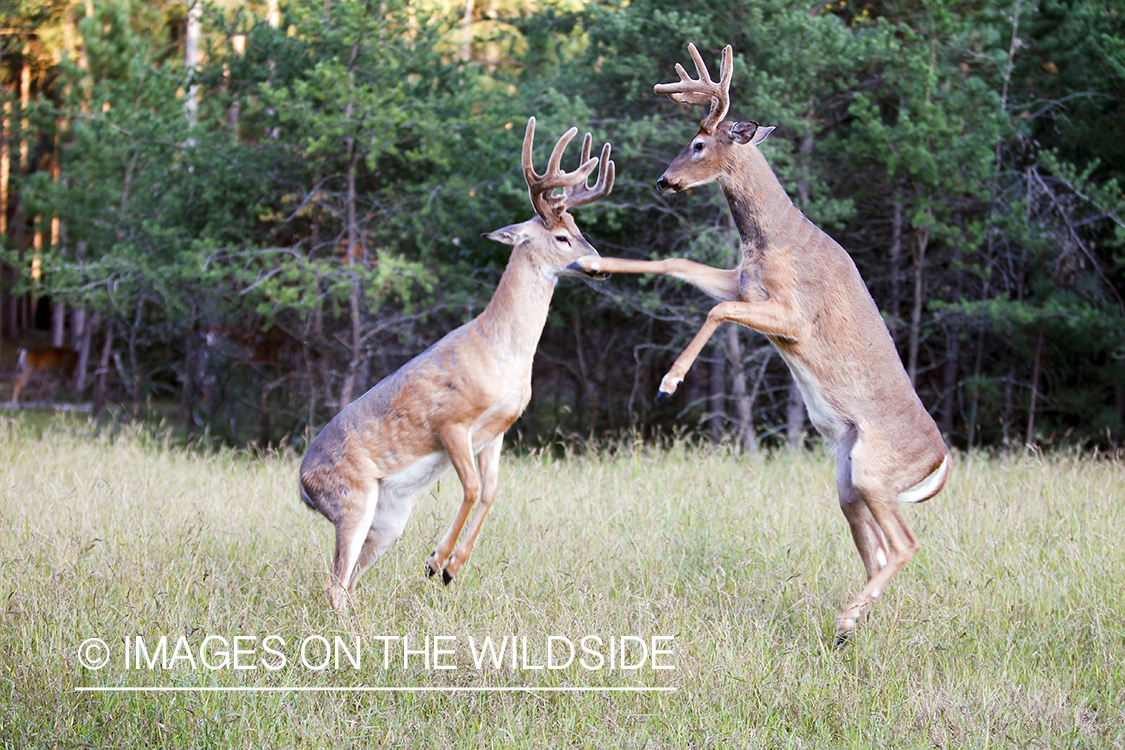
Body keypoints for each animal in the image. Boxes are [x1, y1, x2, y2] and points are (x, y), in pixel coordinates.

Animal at [299, 115, 616, 611]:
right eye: (562, 236)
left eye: (580, 229)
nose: (600, 265)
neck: (502, 351)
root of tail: (302, 484)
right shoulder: (451, 422)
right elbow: (470, 489)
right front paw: (436, 561)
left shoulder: (497, 431)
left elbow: (490, 492)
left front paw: (452, 567)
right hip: (350, 499)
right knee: (334, 583)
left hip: (387, 519)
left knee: (346, 583)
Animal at [571, 42, 949, 638]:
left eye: (698, 142)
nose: (662, 181)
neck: (771, 239)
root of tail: (941, 462)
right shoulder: (741, 281)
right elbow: (680, 265)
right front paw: (591, 261)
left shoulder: (793, 315)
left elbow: (717, 309)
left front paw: (669, 382)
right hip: (849, 478)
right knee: (877, 551)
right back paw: (850, 626)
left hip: (876, 469)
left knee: (906, 544)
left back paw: (846, 619)